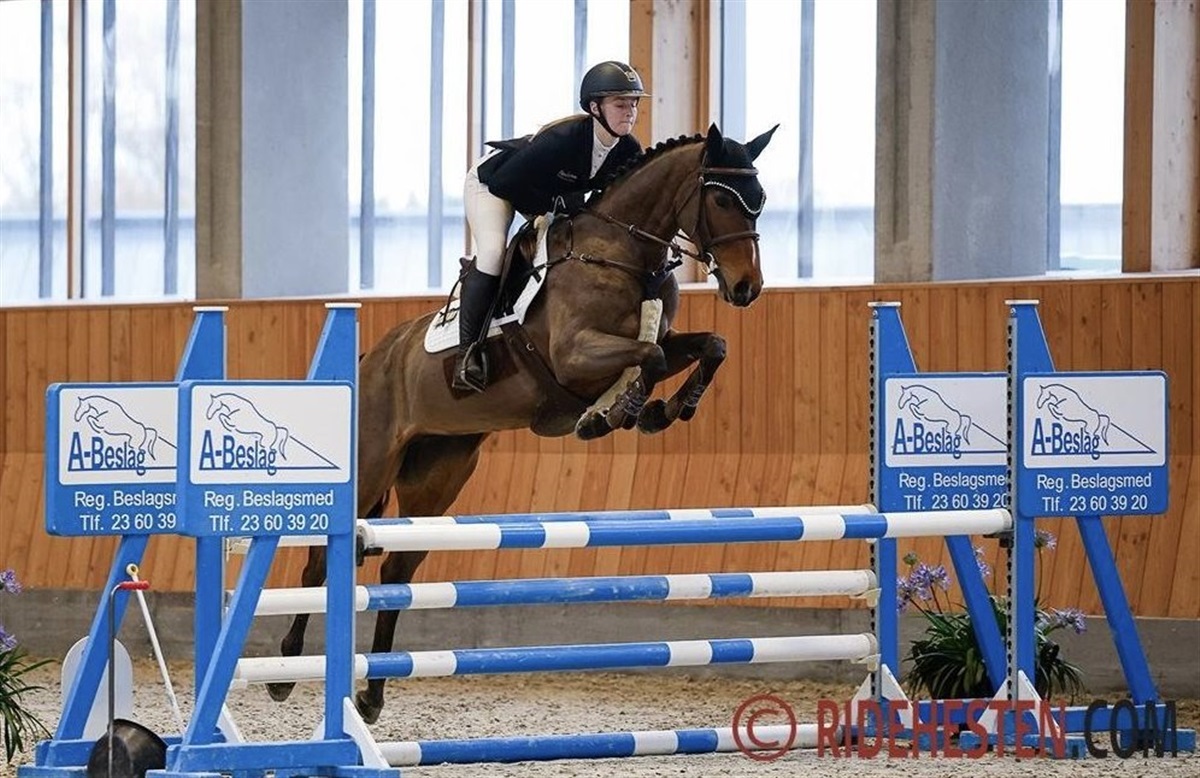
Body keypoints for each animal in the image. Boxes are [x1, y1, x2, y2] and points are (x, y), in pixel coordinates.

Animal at [266, 123, 778, 723]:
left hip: (438, 473)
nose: (746, 288)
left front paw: (662, 411)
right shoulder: (576, 355)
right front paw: (613, 414)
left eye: (758, 200)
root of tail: (373, 359)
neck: (622, 252)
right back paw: (284, 673)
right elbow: (647, 358)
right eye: (720, 200)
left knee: (397, 572)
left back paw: (370, 695)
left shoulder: (657, 341)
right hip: (371, 465)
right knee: (321, 563)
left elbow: (706, 346)